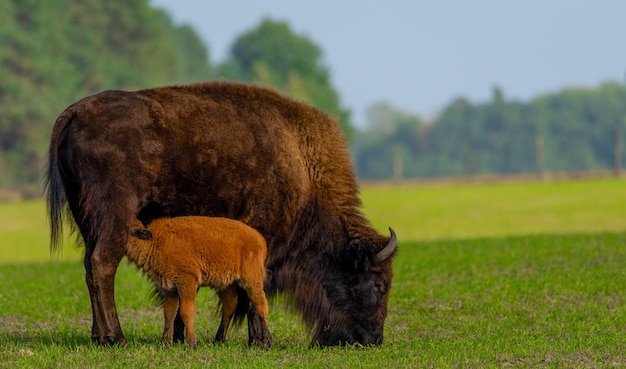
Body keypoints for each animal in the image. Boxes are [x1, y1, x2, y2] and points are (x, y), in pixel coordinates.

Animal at [124, 216, 270, 348]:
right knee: (229, 306)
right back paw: (219, 340)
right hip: (226, 285)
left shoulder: (187, 282)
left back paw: (267, 342)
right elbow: (169, 314)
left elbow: (186, 312)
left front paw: (191, 343)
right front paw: (165, 343)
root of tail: (260, 239)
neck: (155, 242)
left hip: (252, 280)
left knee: (261, 305)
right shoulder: (170, 290)